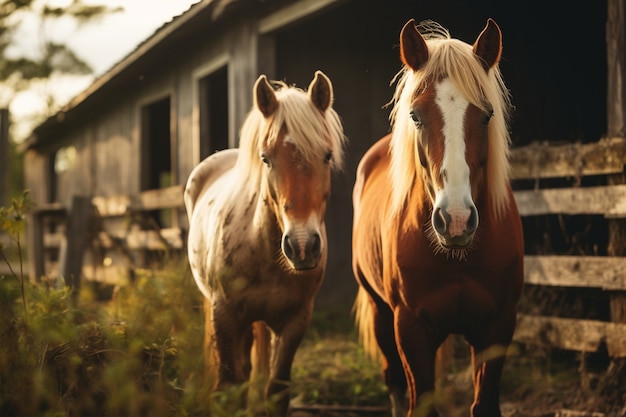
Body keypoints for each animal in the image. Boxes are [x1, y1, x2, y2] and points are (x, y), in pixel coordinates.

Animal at [184, 70, 346, 414]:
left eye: (326, 156)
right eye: (266, 158)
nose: (302, 245)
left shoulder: (295, 321)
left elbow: (276, 391)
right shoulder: (225, 317)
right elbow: (228, 387)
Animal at [352, 17, 520, 414]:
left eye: (487, 115)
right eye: (416, 116)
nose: (456, 220)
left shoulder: (499, 326)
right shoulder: (411, 329)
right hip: (381, 313)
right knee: (394, 381)